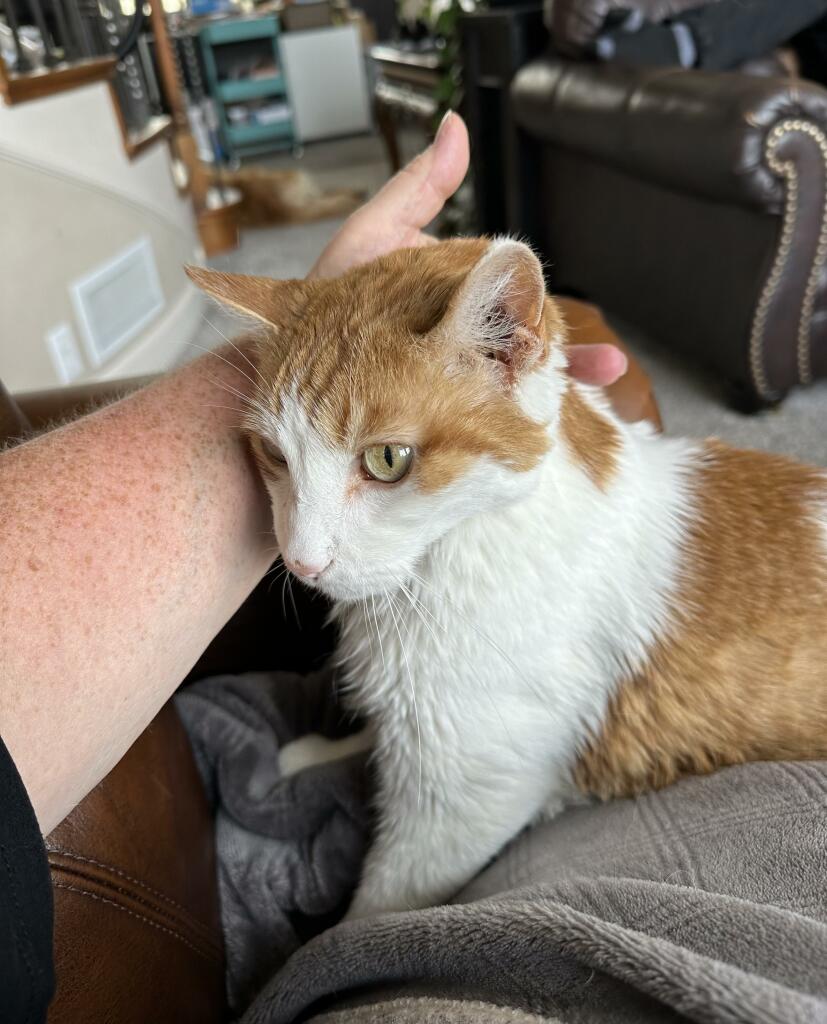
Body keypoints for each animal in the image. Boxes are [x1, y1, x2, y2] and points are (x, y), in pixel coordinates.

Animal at [190, 237, 827, 921]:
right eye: (275, 457)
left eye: (387, 460)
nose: (301, 560)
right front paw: (322, 753)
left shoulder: (463, 800)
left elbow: (382, 902)